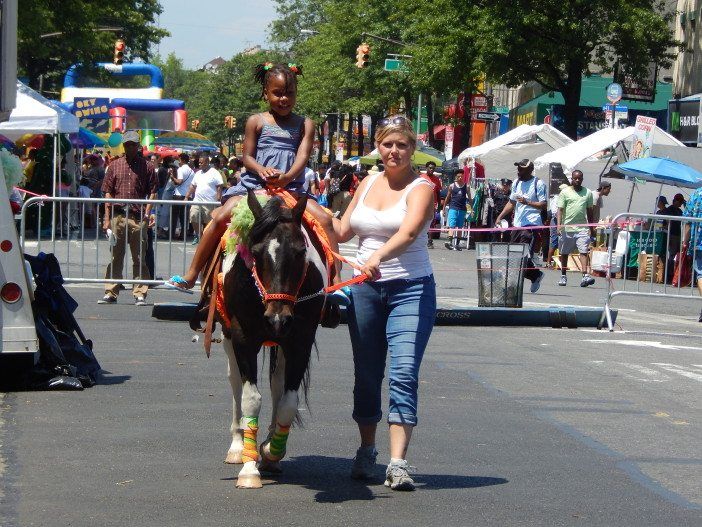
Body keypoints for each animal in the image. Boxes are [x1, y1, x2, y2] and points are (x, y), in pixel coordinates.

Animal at [220, 191, 328, 490]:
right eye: (256, 253)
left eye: (301, 252)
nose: (277, 318)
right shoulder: (243, 338)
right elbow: (251, 399)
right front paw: (249, 468)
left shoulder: (300, 340)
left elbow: (288, 404)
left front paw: (271, 450)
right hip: (228, 335)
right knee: (235, 381)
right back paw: (237, 446)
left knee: (277, 384)